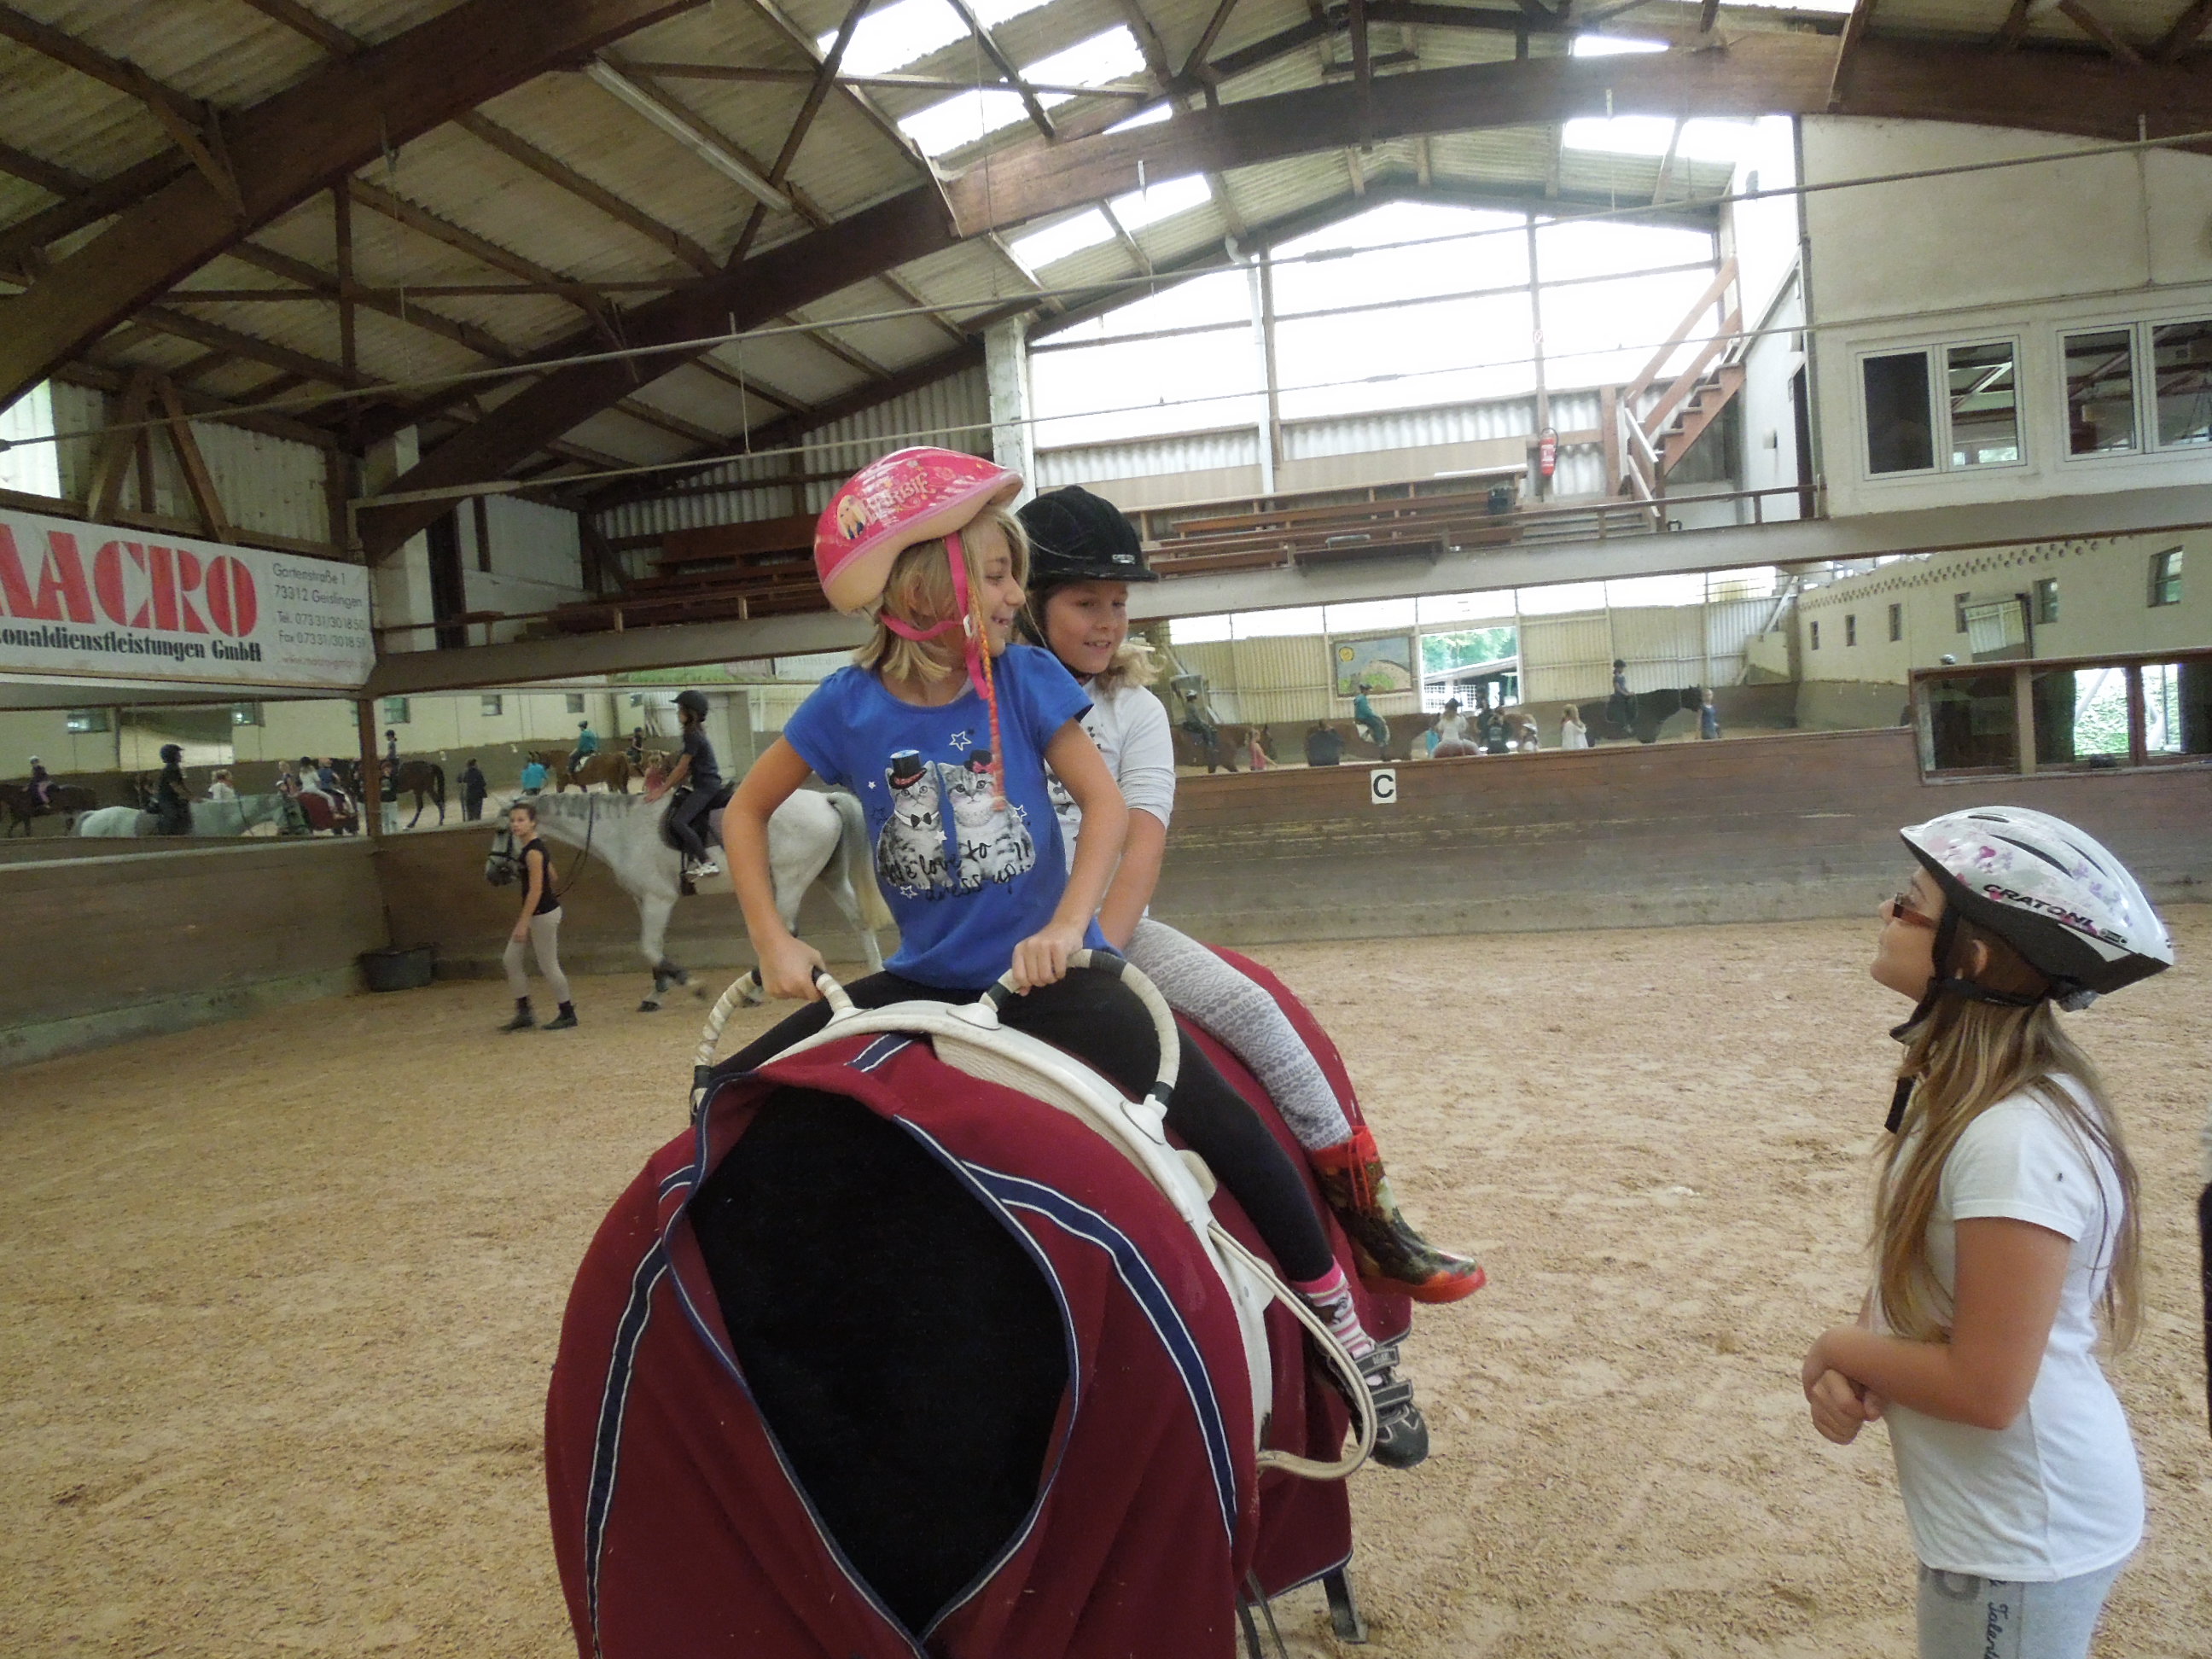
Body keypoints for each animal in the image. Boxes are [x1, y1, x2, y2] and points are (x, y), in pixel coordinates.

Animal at [483, 788, 889, 1012]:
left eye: (503, 829)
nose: (492, 875)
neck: (622, 831)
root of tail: (825, 799)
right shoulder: (642, 899)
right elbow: (653, 951)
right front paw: (655, 995)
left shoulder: (658, 899)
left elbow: (649, 948)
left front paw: (693, 986)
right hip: (828, 875)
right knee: (859, 920)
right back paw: (877, 972)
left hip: (791, 879)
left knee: (786, 933)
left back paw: (757, 993)